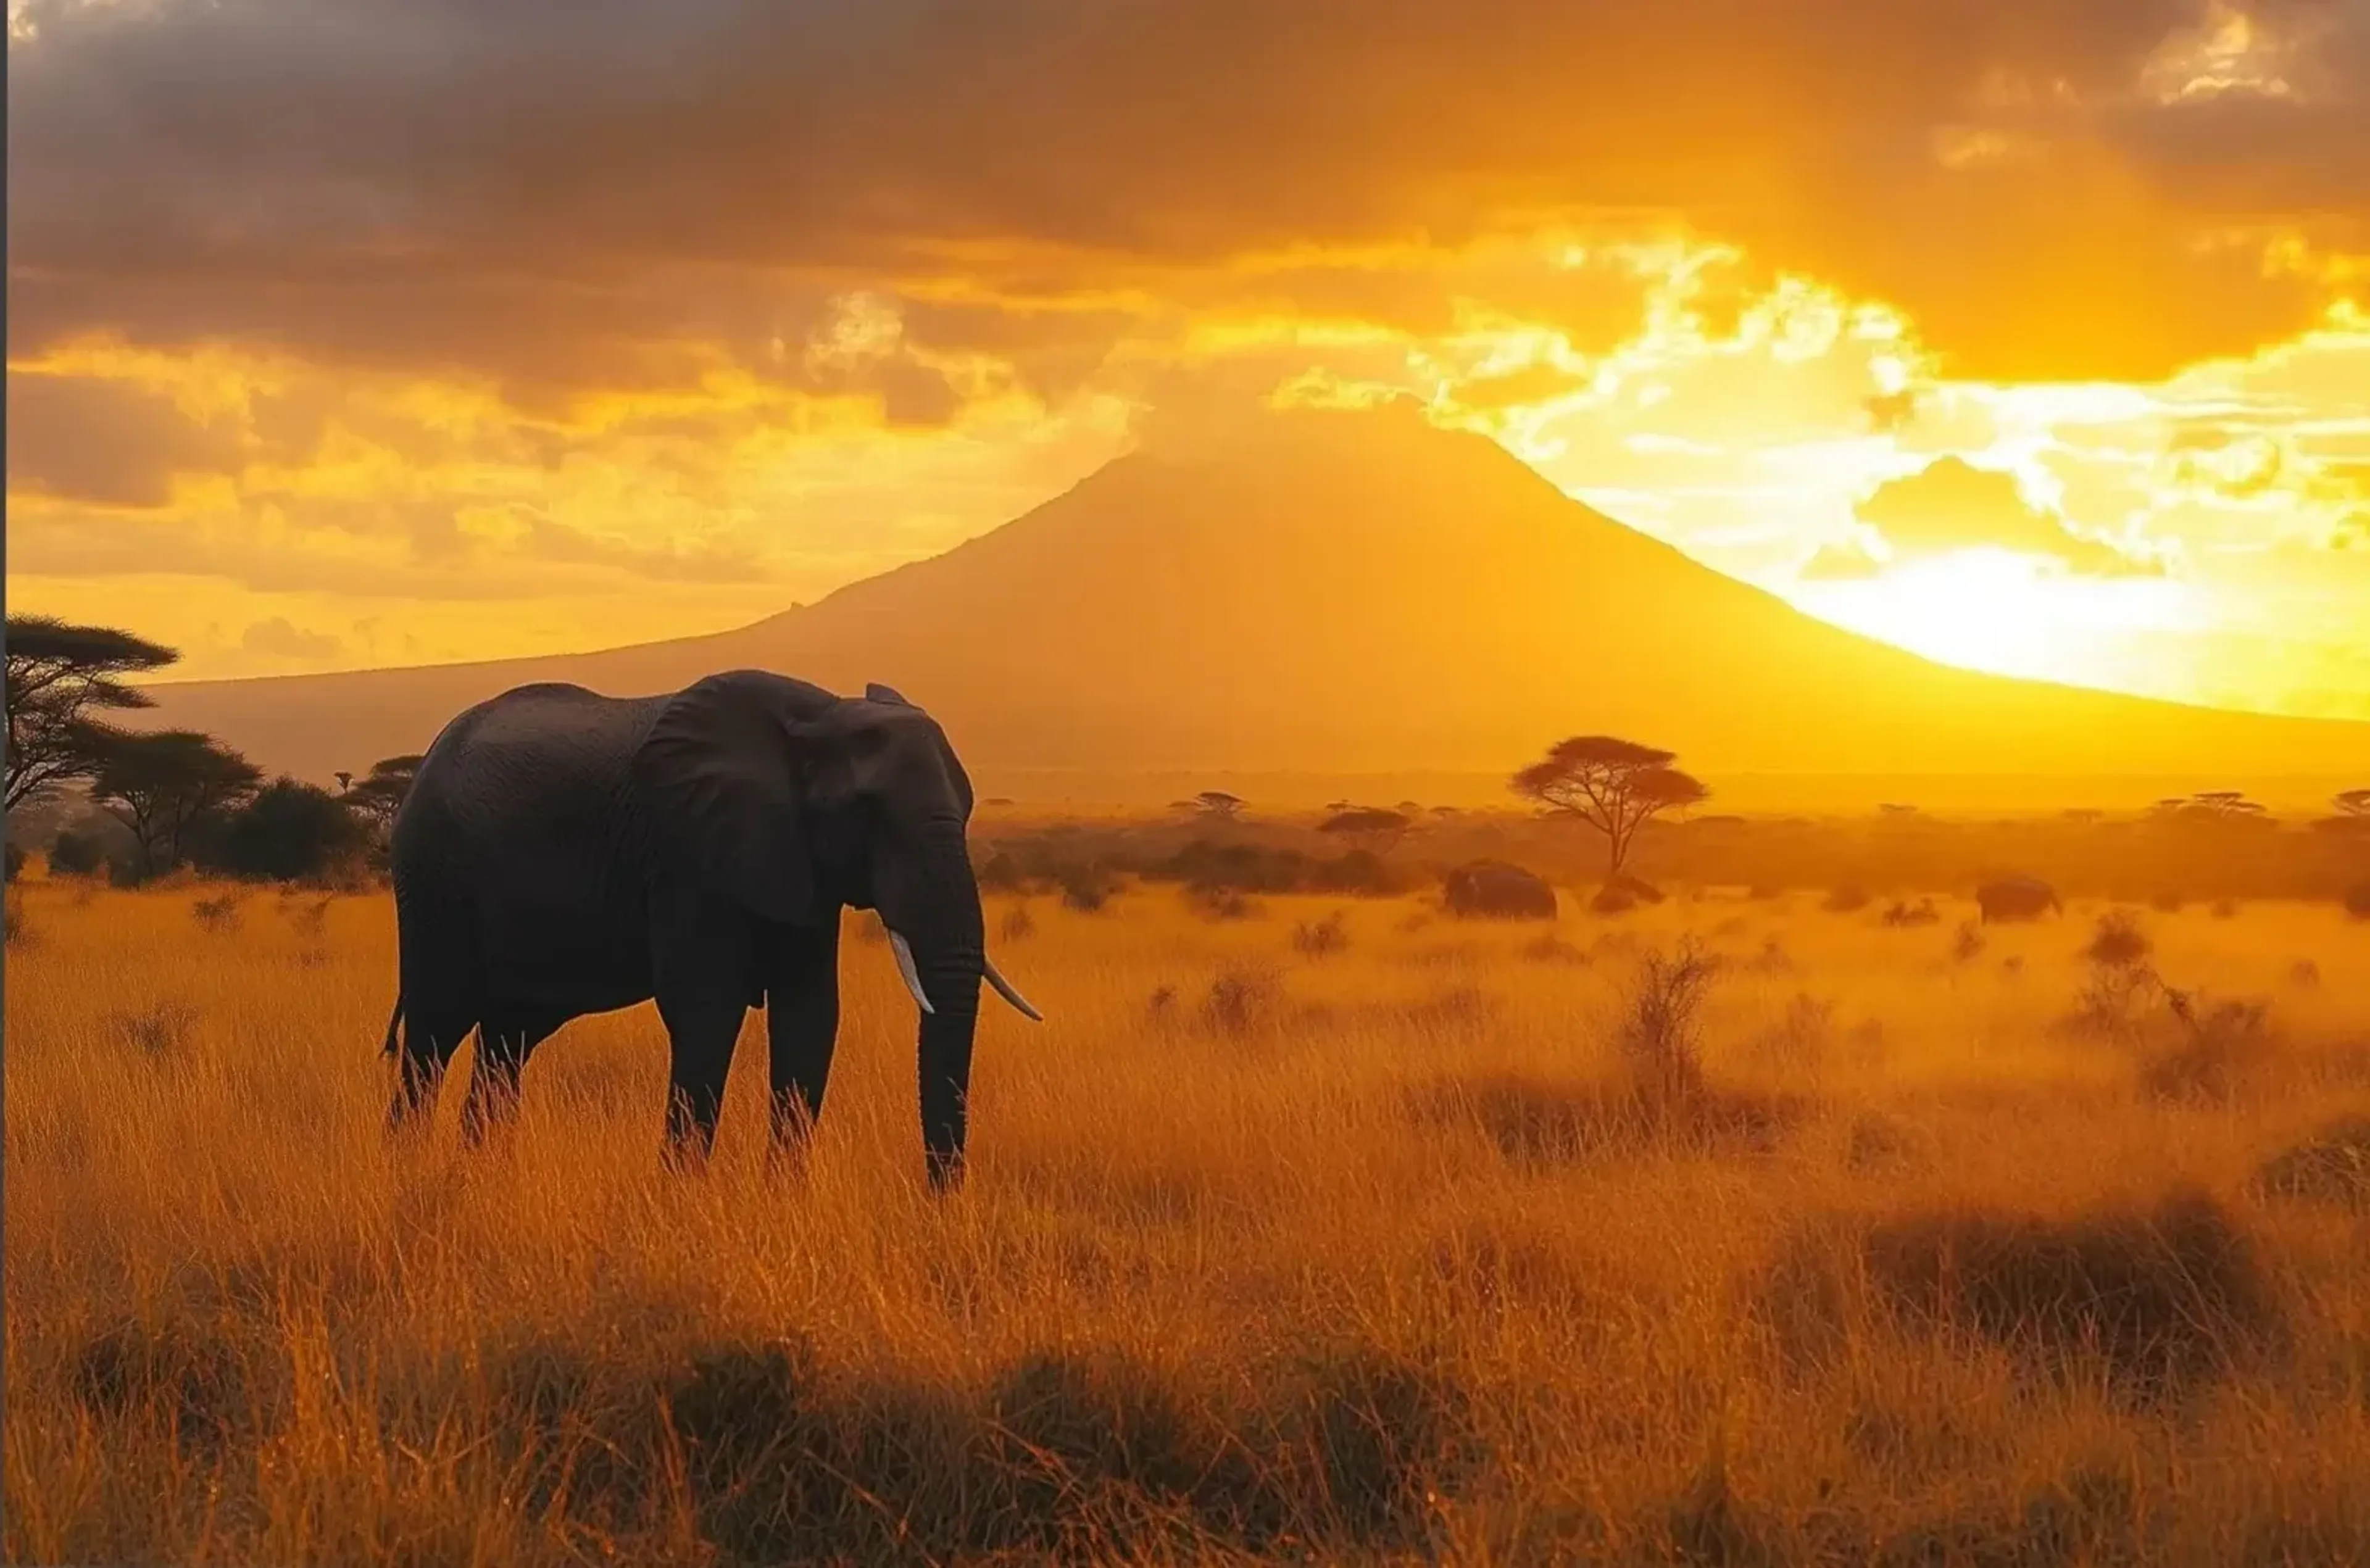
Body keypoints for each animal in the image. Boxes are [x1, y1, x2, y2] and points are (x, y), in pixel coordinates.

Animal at [375, 671, 1040, 1189]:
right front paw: (680, 1203)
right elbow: (707, 1010)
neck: (819, 714)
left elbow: (811, 1015)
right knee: (433, 1036)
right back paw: (408, 1174)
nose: (940, 1198)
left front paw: (781, 1204)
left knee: (506, 1043)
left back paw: (480, 1178)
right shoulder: (686, 855)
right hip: (434, 879)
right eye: (867, 809)